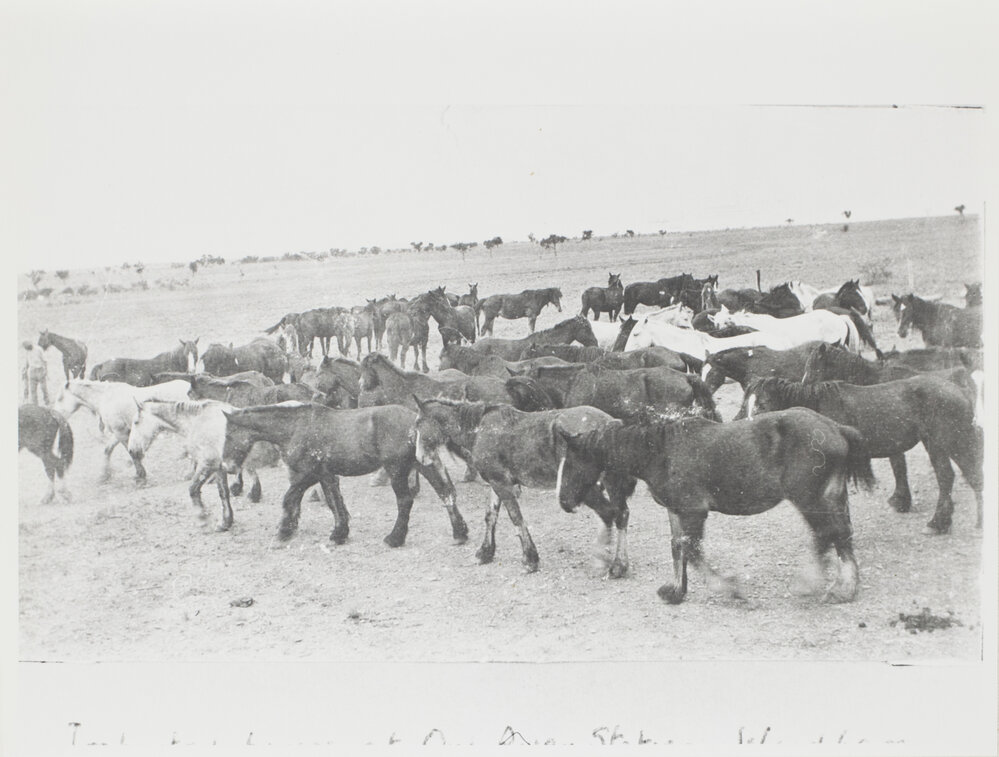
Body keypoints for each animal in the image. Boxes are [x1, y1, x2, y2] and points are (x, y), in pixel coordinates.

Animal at [51, 379, 192, 483]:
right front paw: (105, 475)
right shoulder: (118, 433)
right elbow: (108, 450)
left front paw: (140, 473)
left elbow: (132, 453)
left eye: (60, 398)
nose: (54, 415)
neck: (106, 397)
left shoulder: (121, 432)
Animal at [221, 402, 469, 547]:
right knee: (446, 493)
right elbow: (334, 502)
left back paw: (394, 538)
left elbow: (289, 498)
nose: (227, 466)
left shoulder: (307, 474)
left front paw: (283, 532)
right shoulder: (325, 475)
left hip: (396, 470)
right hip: (424, 462)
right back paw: (460, 533)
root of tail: (419, 421)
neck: (296, 426)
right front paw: (339, 533)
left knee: (406, 501)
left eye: (229, 435)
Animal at [412, 398, 635, 575]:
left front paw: (530, 559)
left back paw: (602, 559)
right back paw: (619, 565)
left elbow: (516, 518)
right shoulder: (495, 483)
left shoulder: (502, 484)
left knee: (608, 513)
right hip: (610, 483)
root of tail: (608, 423)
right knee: (620, 514)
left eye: (419, 425)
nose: (419, 458)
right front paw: (485, 552)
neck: (480, 429)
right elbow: (490, 517)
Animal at [554, 407, 873, 604]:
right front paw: (676, 592)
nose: (564, 501)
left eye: (570, 463)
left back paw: (816, 585)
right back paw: (845, 588)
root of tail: (836, 429)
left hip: (810, 499)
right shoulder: (676, 511)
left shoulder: (695, 511)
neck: (661, 451)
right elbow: (678, 547)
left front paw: (730, 589)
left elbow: (693, 551)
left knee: (827, 535)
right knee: (842, 536)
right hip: (832, 497)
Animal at [741, 376, 983, 534]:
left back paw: (946, 523)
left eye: (763, 404)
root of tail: (960, 391)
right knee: (959, 476)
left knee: (957, 476)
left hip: (946, 442)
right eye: (747, 404)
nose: (749, 433)